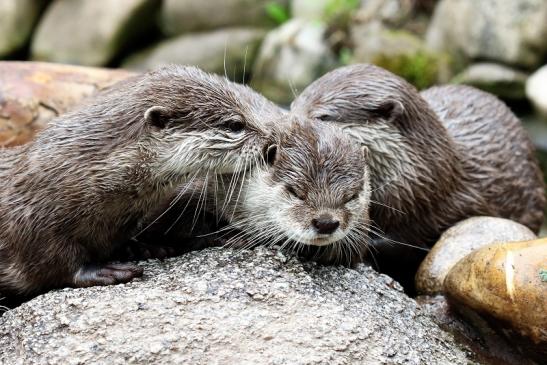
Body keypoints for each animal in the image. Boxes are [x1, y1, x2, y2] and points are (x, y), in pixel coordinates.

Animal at [0, 64, 282, 294]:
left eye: (246, 108)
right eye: (234, 125)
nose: (271, 140)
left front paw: (143, 247)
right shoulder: (32, 221)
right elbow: (53, 263)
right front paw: (105, 270)